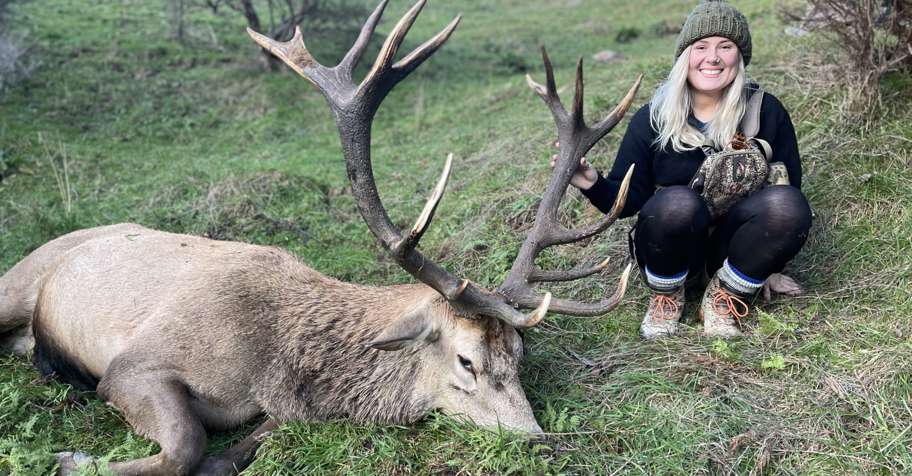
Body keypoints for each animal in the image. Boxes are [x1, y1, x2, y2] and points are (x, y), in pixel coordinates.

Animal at [0, 1, 640, 474]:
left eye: (518, 354)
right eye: (466, 360)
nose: (538, 441)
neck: (275, 364)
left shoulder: (281, 413)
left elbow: (231, 453)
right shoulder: (135, 364)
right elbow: (184, 444)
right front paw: (67, 459)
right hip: (18, 283)